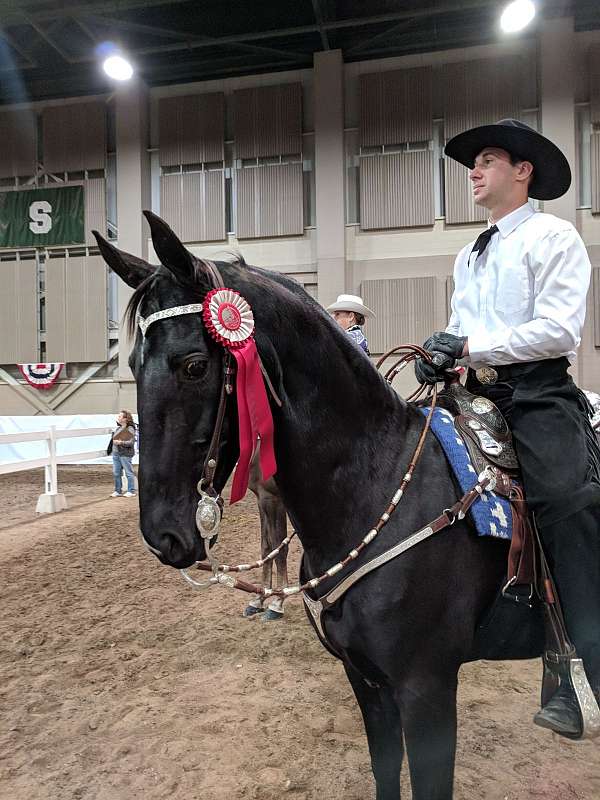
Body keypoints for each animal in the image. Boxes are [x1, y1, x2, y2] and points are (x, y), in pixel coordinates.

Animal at [92, 212, 544, 800]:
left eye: (193, 365)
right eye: (129, 362)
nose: (161, 534)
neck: (378, 486)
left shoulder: (427, 688)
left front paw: (269, 603)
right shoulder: (367, 681)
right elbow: (384, 770)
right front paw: (264, 602)